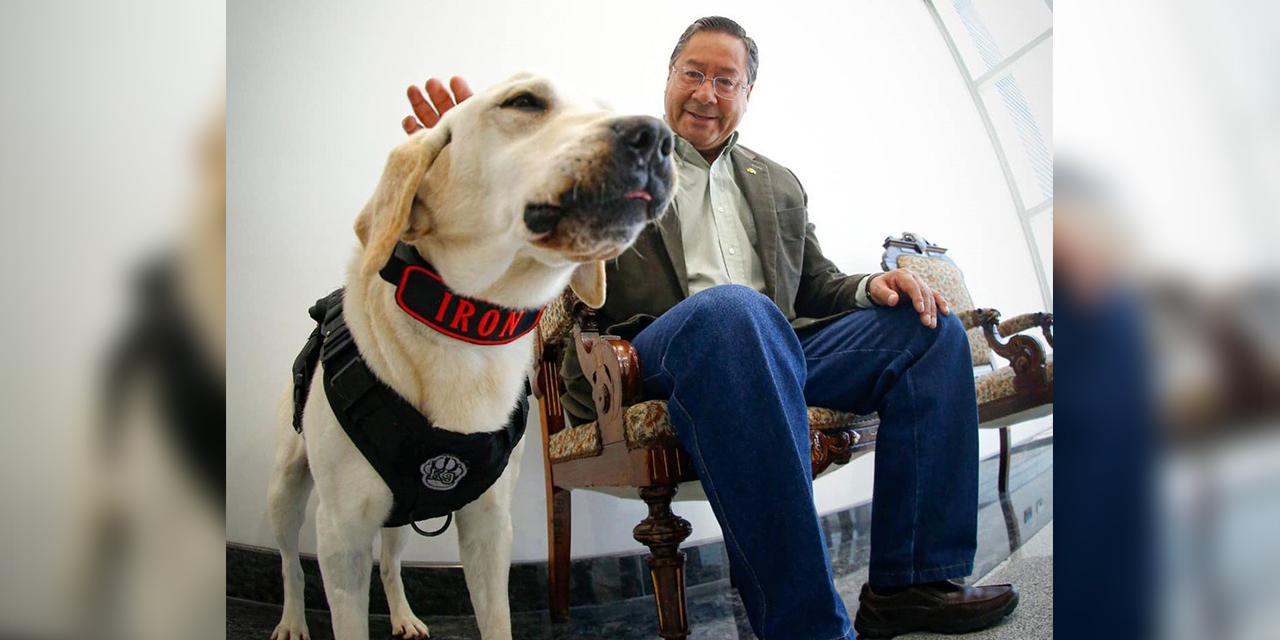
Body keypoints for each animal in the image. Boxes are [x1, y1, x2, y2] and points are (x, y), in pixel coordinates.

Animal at [266, 72, 675, 637]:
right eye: (523, 101)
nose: (659, 137)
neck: (465, 328)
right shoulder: (341, 532)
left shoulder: (489, 525)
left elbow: (495, 618)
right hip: (286, 488)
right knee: (289, 561)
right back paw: (290, 620)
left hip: (400, 515)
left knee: (390, 562)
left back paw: (403, 615)